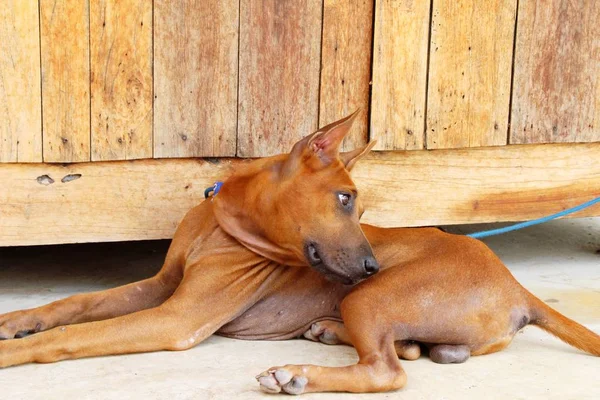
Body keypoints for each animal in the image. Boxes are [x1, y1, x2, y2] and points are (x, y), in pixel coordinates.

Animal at [0, 112, 596, 394]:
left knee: (387, 371)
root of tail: (518, 287)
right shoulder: (160, 287)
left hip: (370, 298)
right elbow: (73, 305)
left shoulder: (176, 319)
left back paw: (299, 375)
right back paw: (331, 333)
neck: (220, 225)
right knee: (405, 352)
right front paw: (17, 321)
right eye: (345, 198)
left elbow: (72, 335)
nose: (371, 264)